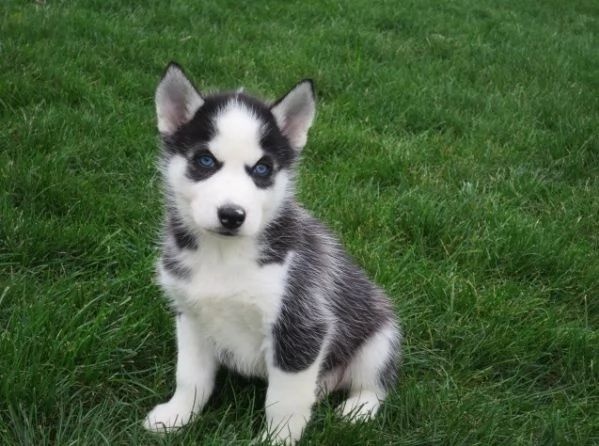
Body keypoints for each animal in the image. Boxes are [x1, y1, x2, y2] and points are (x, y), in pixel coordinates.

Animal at [143, 61, 400, 442]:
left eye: (262, 169)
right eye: (205, 160)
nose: (232, 215)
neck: (225, 255)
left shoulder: (302, 324)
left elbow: (284, 401)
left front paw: (277, 440)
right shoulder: (190, 316)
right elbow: (190, 377)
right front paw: (175, 416)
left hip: (381, 337)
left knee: (376, 383)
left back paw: (358, 409)